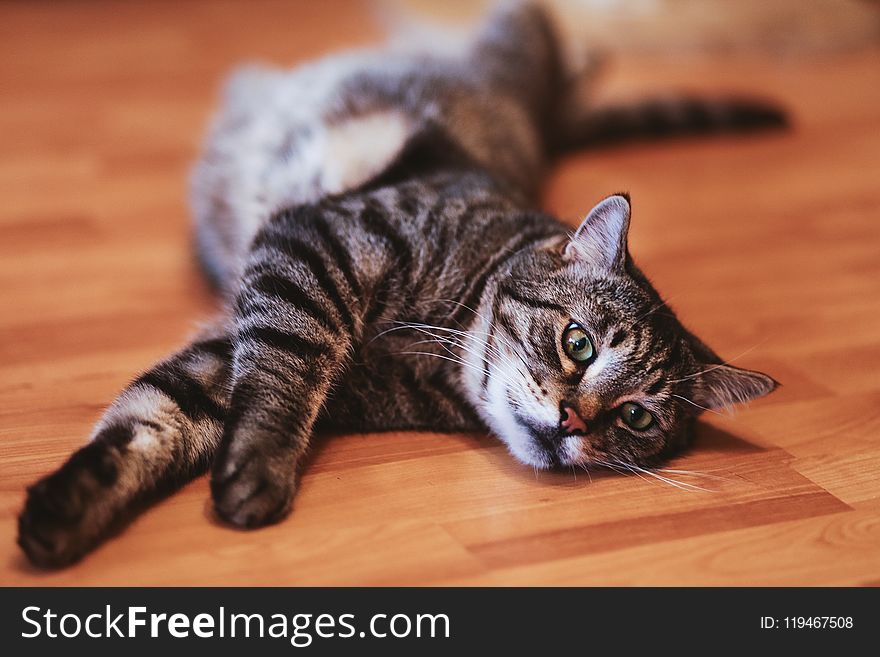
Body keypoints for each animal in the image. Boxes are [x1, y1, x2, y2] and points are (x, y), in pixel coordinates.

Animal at [18, 0, 784, 568]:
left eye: (636, 419)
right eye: (579, 344)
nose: (574, 422)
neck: (435, 354)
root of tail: (543, 128)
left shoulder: (239, 348)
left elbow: (157, 418)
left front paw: (65, 512)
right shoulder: (315, 246)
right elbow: (279, 377)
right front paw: (260, 467)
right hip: (517, 33)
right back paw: (583, 57)